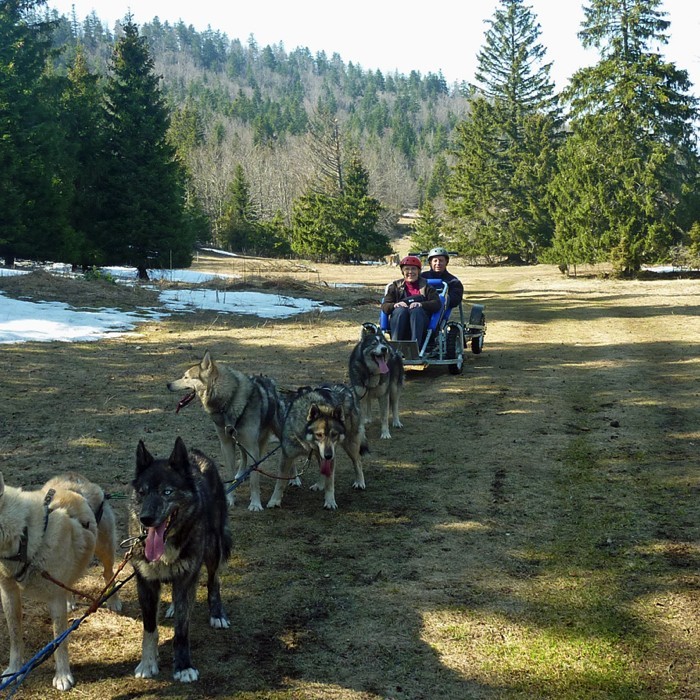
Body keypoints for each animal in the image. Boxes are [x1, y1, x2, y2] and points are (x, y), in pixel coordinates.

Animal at [0, 472, 98, 691]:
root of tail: (72, 477)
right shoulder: (8, 593)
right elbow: (15, 634)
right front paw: (14, 670)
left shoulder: (55, 599)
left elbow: (59, 639)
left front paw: (62, 676)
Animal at [129, 437, 232, 683]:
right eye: (143, 492)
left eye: (167, 492)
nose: (146, 519)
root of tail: (195, 453)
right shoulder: (145, 584)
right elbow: (149, 628)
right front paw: (148, 663)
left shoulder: (187, 579)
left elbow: (182, 631)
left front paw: (183, 666)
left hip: (213, 549)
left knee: (214, 582)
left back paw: (217, 613)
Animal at [167, 350, 284, 511]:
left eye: (186, 377)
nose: (168, 384)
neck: (228, 402)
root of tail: (269, 380)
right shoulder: (227, 444)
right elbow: (230, 472)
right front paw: (230, 499)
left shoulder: (251, 446)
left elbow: (254, 479)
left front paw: (255, 503)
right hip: (240, 441)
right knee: (243, 457)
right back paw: (240, 474)